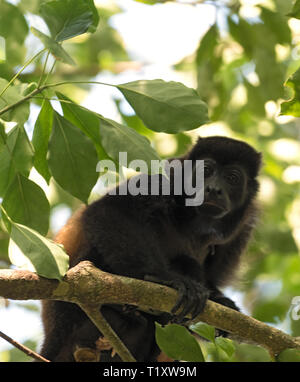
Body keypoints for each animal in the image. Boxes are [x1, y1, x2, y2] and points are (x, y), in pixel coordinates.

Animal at [40, 137, 262, 362]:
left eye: (232, 177)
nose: (214, 189)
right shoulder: (167, 179)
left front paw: (223, 302)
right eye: (206, 170)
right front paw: (165, 278)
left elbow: (211, 279)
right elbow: (109, 210)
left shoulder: (244, 225)